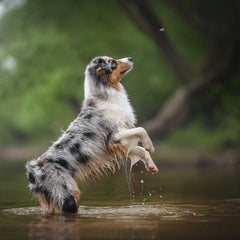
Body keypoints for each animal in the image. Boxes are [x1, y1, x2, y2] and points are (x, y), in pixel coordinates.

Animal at [25, 56, 158, 214]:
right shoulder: (113, 136)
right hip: (67, 196)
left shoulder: (118, 144)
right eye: (113, 63)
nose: (130, 58)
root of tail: (33, 172)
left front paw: (151, 165)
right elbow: (141, 129)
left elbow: (141, 150)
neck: (104, 94)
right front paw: (149, 145)